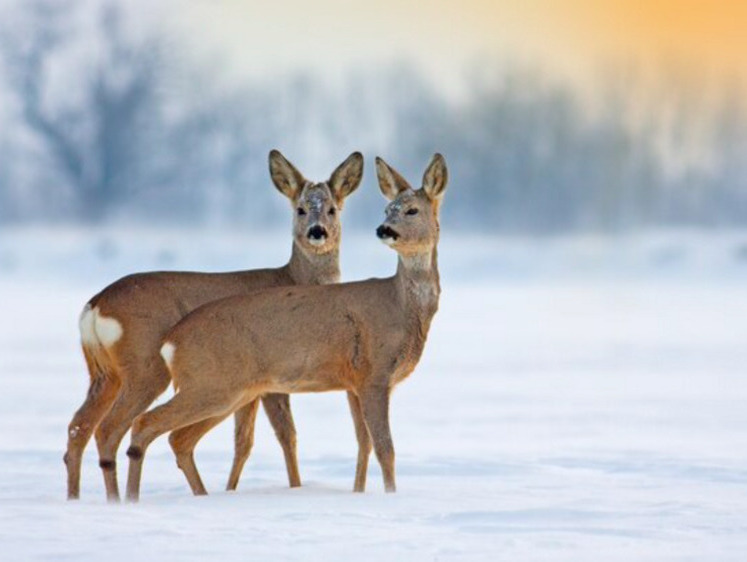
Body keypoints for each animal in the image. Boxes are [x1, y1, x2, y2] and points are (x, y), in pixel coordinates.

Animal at [65, 149, 364, 498]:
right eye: (300, 209)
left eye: (332, 208)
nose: (317, 231)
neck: (293, 278)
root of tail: (94, 305)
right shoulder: (271, 380)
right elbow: (285, 435)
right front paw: (294, 488)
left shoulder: (252, 387)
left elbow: (244, 442)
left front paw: (232, 489)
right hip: (145, 366)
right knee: (110, 429)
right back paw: (119, 498)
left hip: (104, 373)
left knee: (79, 427)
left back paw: (75, 498)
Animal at [125, 153, 448, 498]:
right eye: (388, 209)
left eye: (411, 210)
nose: (384, 229)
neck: (400, 308)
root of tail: (171, 340)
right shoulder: (374, 374)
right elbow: (385, 447)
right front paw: (391, 496)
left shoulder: (355, 382)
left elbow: (365, 444)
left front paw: (358, 493)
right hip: (211, 384)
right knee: (146, 424)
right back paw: (131, 499)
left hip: (230, 391)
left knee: (179, 438)